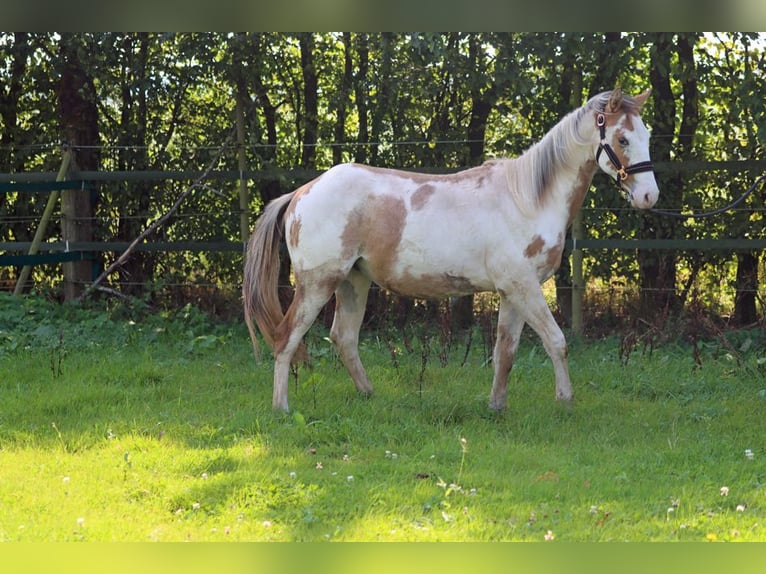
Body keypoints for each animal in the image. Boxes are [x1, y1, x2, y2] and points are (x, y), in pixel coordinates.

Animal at [244, 88, 660, 414]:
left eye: (647, 135)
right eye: (623, 139)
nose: (649, 196)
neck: (526, 199)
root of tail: (301, 192)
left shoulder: (513, 292)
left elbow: (505, 352)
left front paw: (496, 406)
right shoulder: (524, 287)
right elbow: (557, 342)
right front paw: (566, 401)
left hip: (352, 282)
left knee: (343, 339)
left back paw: (369, 396)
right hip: (317, 284)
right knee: (286, 338)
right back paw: (281, 408)